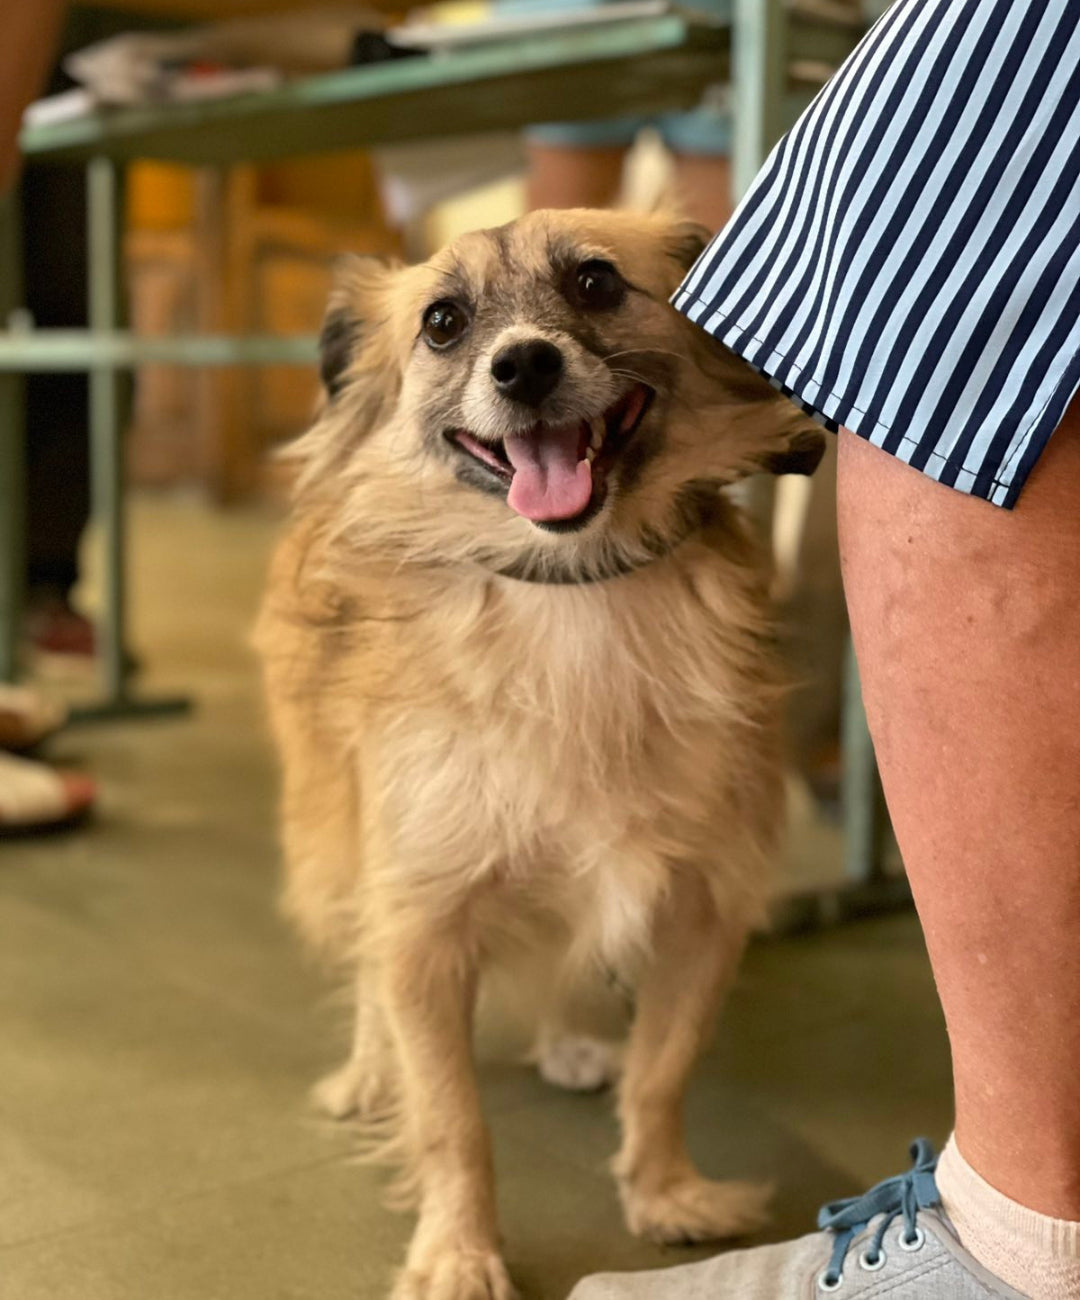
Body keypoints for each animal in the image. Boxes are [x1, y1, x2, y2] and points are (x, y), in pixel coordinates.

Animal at [256, 208, 824, 1300]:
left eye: (597, 283)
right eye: (443, 323)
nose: (523, 366)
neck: (573, 588)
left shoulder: (703, 907)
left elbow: (661, 1071)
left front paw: (665, 1194)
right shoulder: (422, 919)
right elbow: (451, 1119)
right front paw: (457, 1251)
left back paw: (568, 1040)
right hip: (339, 832)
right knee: (364, 969)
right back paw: (368, 1071)